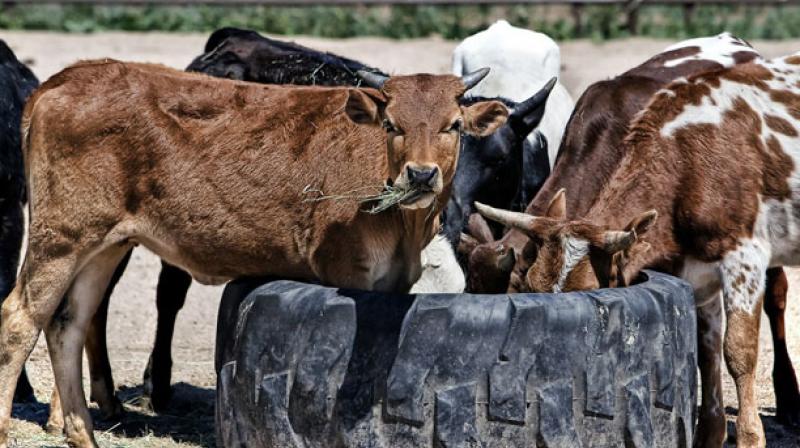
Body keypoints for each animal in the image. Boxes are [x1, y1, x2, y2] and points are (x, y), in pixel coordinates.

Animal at [0, 60, 506, 448]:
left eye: (453, 126)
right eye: (391, 124)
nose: (420, 175)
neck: (404, 225)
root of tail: (67, 78)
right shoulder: (347, 273)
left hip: (103, 245)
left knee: (69, 325)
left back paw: (83, 434)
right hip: (60, 237)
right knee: (19, 320)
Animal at [476, 51, 800, 444]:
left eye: (590, 291)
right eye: (531, 288)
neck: (688, 160)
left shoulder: (744, 258)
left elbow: (738, 352)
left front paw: (751, 437)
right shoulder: (698, 272)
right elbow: (706, 350)